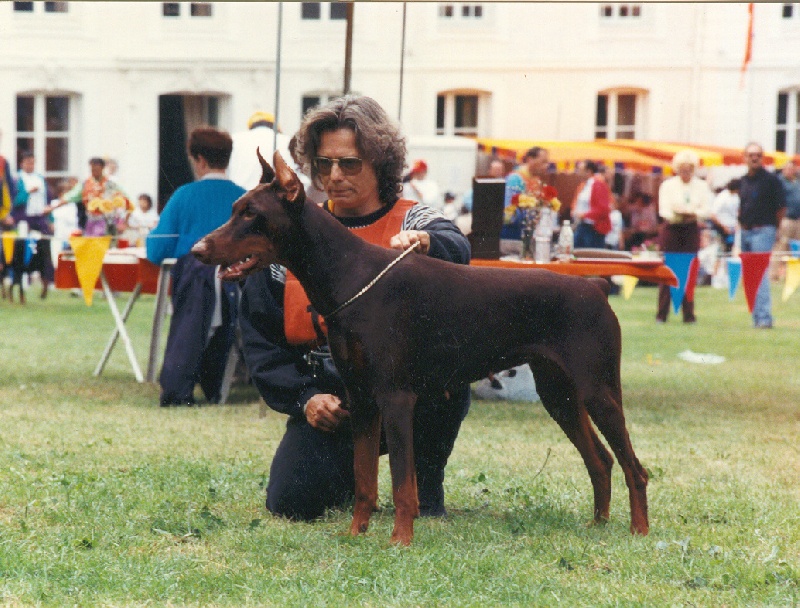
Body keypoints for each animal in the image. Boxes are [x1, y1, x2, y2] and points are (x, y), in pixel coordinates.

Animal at [194, 151, 648, 548]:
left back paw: (638, 532)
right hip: (559, 394)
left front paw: (400, 540)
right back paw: (598, 524)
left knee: (633, 466)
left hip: (598, 390)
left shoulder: (395, 398)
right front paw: (356, 534)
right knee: (601, 460)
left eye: (251, 214)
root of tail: (595, 287)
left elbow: (401, 483)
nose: (198, 250)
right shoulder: (361, 400)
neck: (348, 274)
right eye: (235, 208)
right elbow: (364, 480)